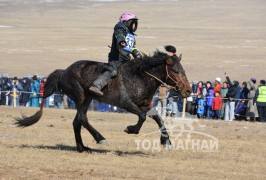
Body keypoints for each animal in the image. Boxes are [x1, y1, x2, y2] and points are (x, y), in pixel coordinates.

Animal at [15, 45, 191, 153]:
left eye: (183, 70)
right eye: (175, 71)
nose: (188, 90)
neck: (139, 76)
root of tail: (64, 71)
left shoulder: (146, 105)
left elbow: (159, 119)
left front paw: (166, 142)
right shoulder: (126, 104)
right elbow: (142, 117)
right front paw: (131, 129)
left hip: (87, 100)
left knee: (77, 122)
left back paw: (82, 147)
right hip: (80, 98)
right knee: (82, 119)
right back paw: (100, 138)